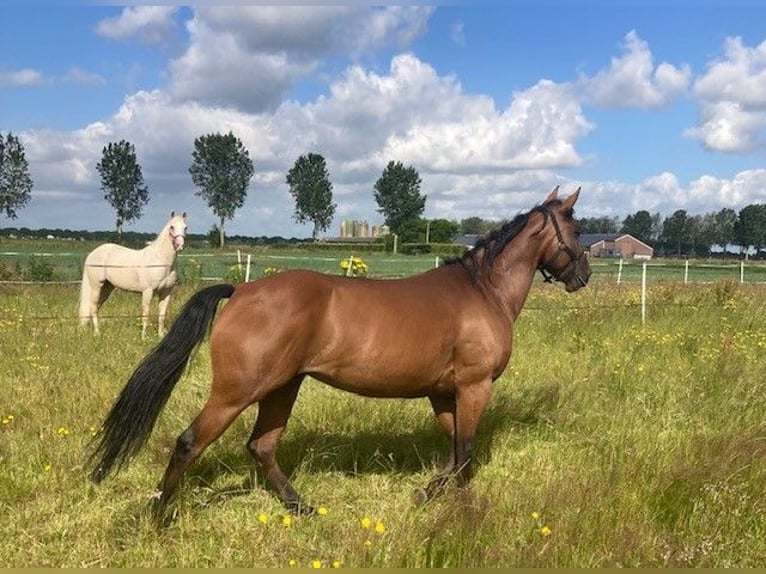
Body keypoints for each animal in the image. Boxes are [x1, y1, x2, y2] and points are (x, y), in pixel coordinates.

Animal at [79, 210, 190, 338]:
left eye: (185, 227)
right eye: (172, 227)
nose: (180, 246)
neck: (161, 262)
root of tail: (92, 254)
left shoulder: (166, 292)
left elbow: (162, 315)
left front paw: (161, 336)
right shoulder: (148, 292)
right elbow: (145, 315)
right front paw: (143, 337)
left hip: (107, 287)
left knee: (96, 306)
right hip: (96, 286)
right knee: (93, 307)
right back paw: (97, 333)